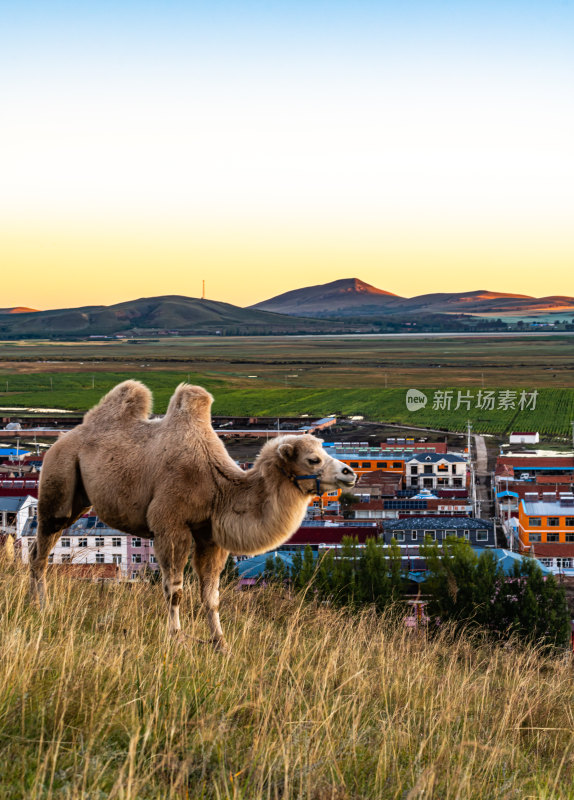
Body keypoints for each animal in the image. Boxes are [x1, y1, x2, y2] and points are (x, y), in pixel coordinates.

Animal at [31, 382, 358, 648]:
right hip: (59, 475)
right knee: (42, 546)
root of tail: (64, 437)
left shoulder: (210, 536)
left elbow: (211, 596)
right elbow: (175, 590)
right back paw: (42, 606)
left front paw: (220, 643)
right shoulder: (170, 526)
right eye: (313, 459)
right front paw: (176, 637)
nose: (350, 472)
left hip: (79, 498)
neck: (217, 486)